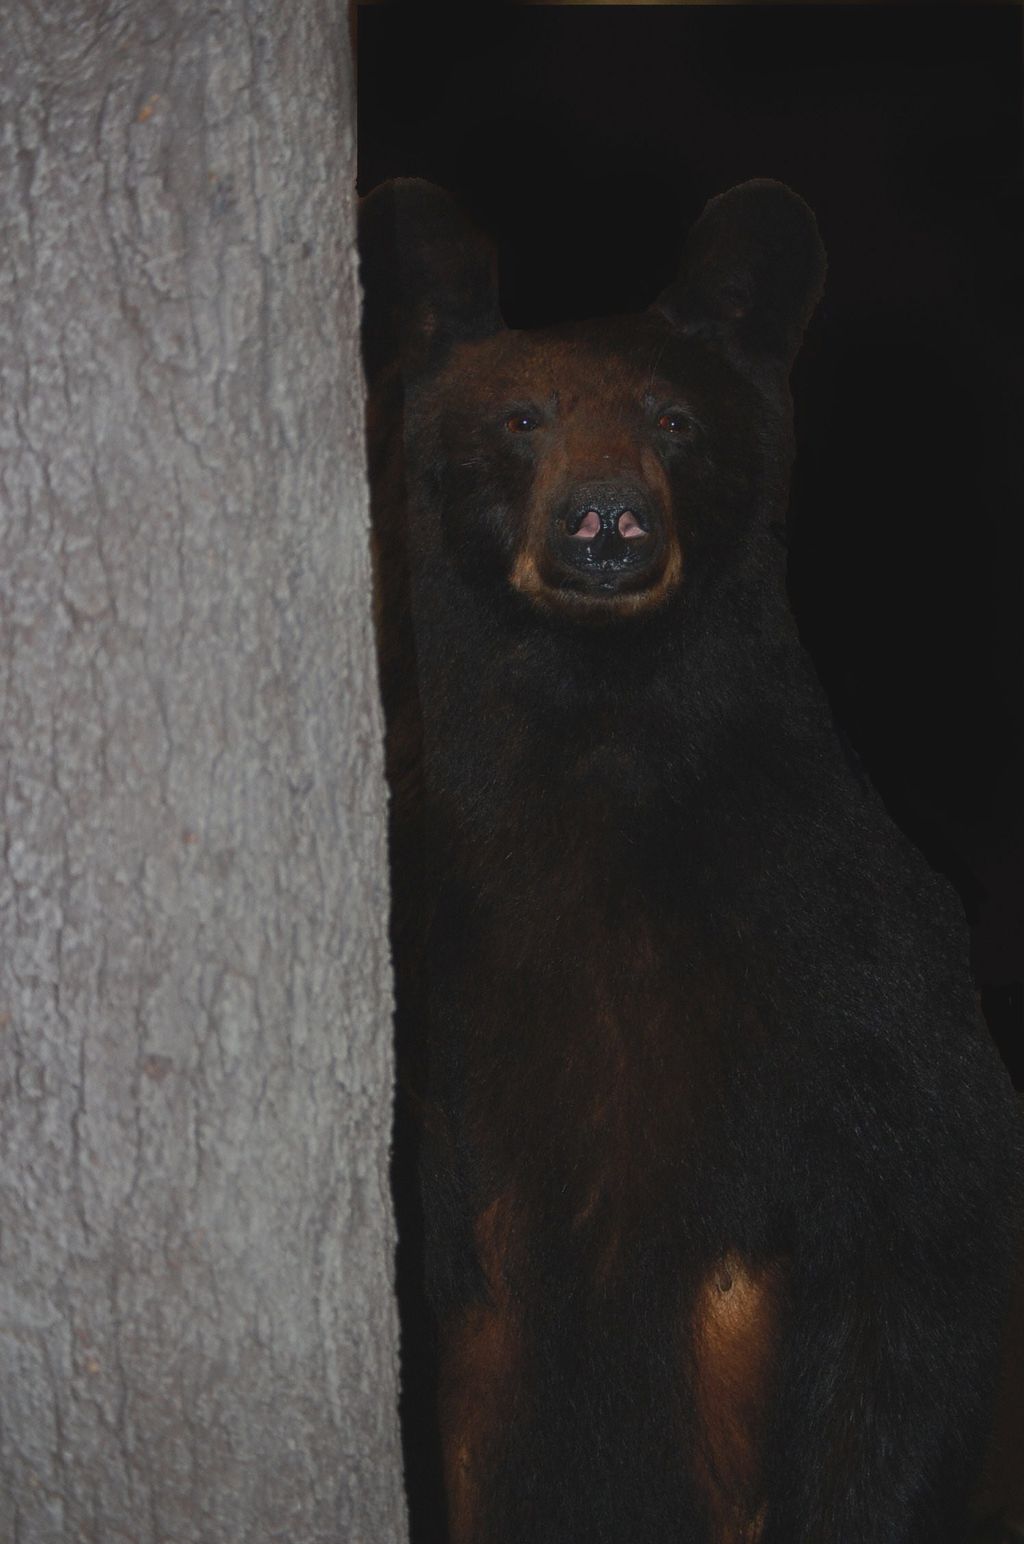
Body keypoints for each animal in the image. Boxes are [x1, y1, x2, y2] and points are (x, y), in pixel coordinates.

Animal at [359, 177, 1023, 1544]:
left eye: (672, 418)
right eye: (522, 416)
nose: (604, 515)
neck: (593, 741)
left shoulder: (847, 926)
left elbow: (931, 1208)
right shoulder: (430, 913)